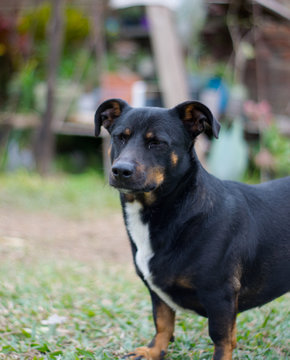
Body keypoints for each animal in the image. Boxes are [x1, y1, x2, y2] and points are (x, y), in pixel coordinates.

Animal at [95, 99, 290, 360]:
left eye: (157, 143)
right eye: (119, 137)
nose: (120, 170)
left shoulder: (220, 294)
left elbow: (221, 339)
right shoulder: (157, 294)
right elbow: (163, 322)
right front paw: (153, 350)